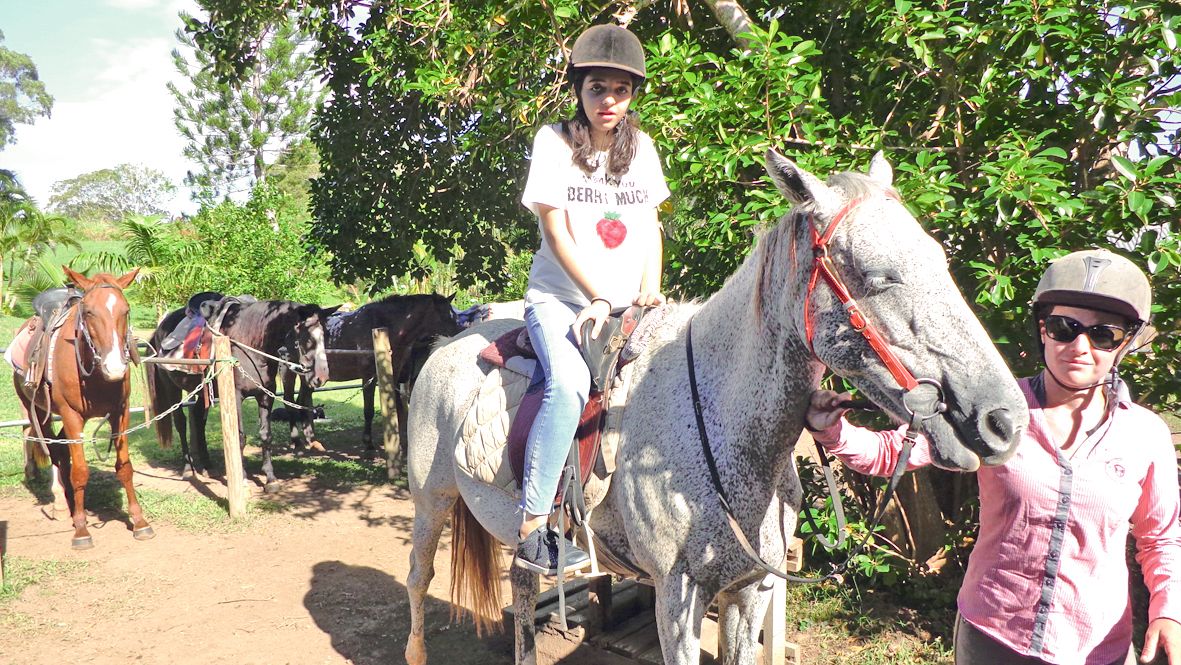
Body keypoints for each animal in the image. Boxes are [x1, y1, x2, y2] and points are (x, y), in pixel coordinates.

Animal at [14, 265, 153, 552]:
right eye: (88, 312)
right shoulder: (71, 415)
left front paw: (139, 521)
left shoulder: (120, 413)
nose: (115, 367)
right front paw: (81, 529)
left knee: (59, 449)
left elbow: (125, 467)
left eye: (125, 310)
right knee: (50, 446)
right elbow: (80, 472)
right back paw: (59, 502)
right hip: (36, 411)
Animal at [147, 296, 340, 489]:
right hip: (171, 387)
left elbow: (266, 435)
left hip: (202, 391)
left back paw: (207, 466)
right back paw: (188, 469)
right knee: (180, 422)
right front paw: (243, 477)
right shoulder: (236, 396)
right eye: (307, 338)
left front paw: (270, 478)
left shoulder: (265, 395)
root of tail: (158, 331)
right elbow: (239, 437)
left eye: (325, 336)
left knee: (198, 420)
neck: (250, 343)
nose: (321, 376)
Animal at [278, 294, 458, 460]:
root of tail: (289, 334)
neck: (382, 329)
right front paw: (369, 445)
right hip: (290, 372)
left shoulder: (393, 376)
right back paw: (297, 442)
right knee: (289, 401)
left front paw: (401, 445)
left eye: (453, 314)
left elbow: (399, 409)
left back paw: (313, 441)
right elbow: (369, 411)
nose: (459, 334)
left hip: (309, 377)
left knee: (303, 401)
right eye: (444, 315)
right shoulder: (368, 378)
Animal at [401, 152, 1029, 665]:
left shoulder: (749, 591)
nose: (1003, 420)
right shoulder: (676, 596)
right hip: (431, 499)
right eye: (879, 277)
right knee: (418, 577)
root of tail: (451, 341)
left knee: (523, 588)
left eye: (940, 259)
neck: (721, 427)